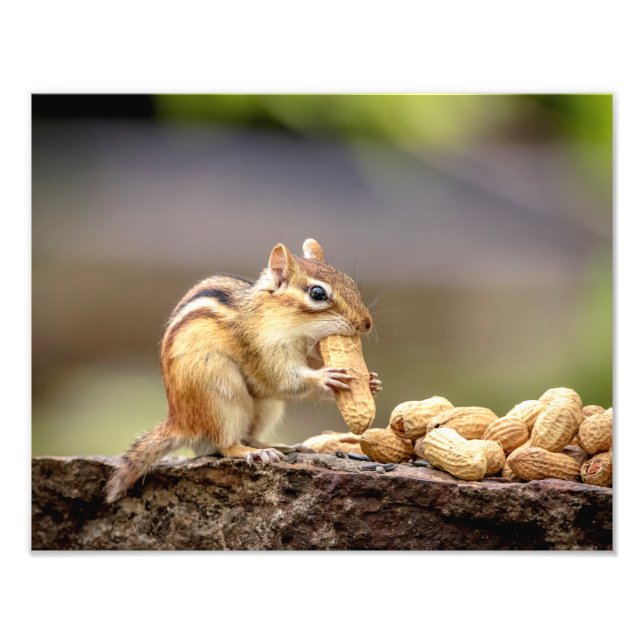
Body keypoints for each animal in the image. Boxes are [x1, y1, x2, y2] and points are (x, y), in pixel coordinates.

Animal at [105, 238, 381, 503]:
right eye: (317, 293)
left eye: (350, 283)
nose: (366, 324)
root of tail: (180, 422)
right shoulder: (262, 349)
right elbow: (284, 380)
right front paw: (326, 377)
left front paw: (371, 381)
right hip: (219, 394)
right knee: (226, 445)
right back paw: (255, 453)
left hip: (266, 406)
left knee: (249, 434)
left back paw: (278, 446)